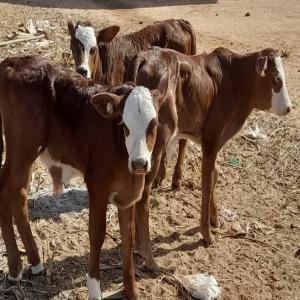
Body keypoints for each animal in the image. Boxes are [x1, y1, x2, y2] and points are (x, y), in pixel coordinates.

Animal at [0, 55, 170, 298]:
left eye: (153, 124)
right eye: (124, 124)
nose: (139, 163)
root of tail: (15, 60)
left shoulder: (128, 194)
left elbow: (128, 237)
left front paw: (132, 290)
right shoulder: (97, 186)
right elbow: (96, 234)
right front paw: (94, 289)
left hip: (27, 151)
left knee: (19, 191)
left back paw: (35, 262)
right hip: (23, 145)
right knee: (6, 186)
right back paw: (15, 267)